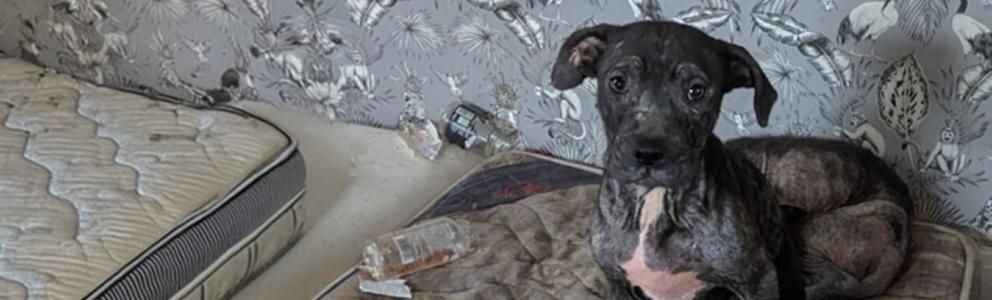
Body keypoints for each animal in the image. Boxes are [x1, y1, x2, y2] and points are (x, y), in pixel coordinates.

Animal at [548, 19, 912, 298]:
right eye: (617, 83)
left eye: (696, 91)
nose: (649, 153)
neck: (656, 203)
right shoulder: (617, 283)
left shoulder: (757, 280)